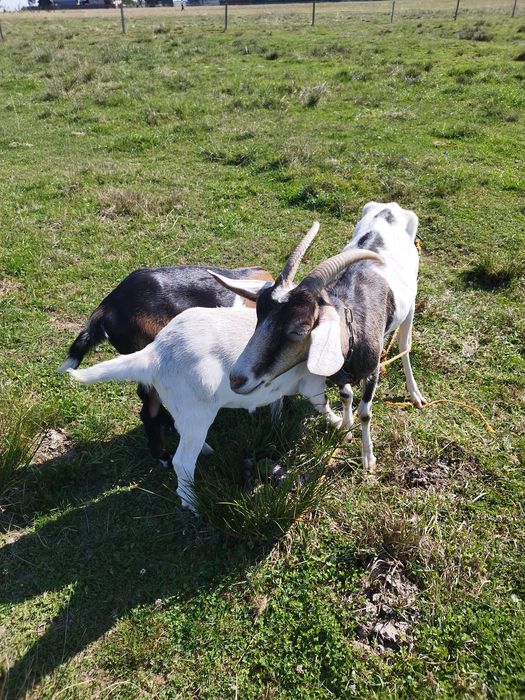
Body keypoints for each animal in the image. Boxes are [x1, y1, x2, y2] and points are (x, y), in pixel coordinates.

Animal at [210, 202, 426, 471]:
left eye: (300, 329)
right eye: (259, 316)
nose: (237, 379)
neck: (352, 325)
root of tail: (389, 207)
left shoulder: (372, 370)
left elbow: (366, 412)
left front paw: (368, 458)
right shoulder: (338, 373)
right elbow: (346, 395)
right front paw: (345, 427)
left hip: (410, 304)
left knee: (404, 346)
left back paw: (415, 394)